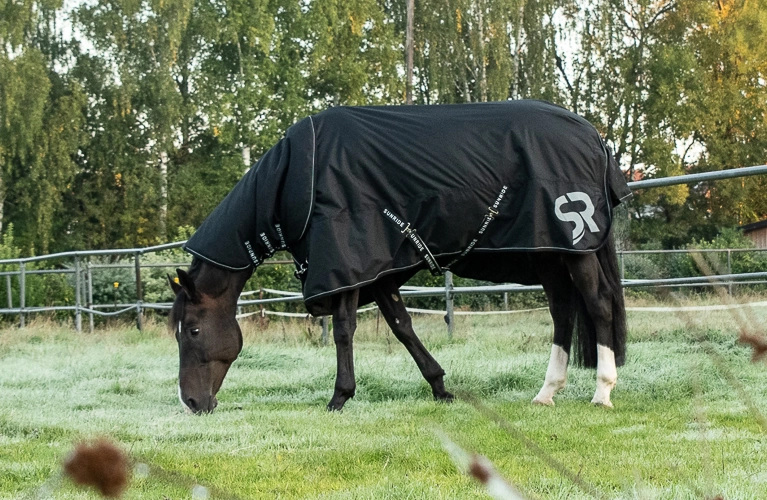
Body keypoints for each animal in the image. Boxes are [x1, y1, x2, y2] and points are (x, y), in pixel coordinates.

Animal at [168, 100, 631, 414]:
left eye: (192, 330)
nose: (192, 402)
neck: (301, 177)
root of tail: (593, 136)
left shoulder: (347, 265)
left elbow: (345, 330)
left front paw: (339, 397)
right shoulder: (379, 271)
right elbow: (402, 327)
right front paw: (440, 388)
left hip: (574, 247)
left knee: (599, 305)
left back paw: (603, 391)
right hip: (550, 252)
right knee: (563, 313)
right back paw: (546, 392)